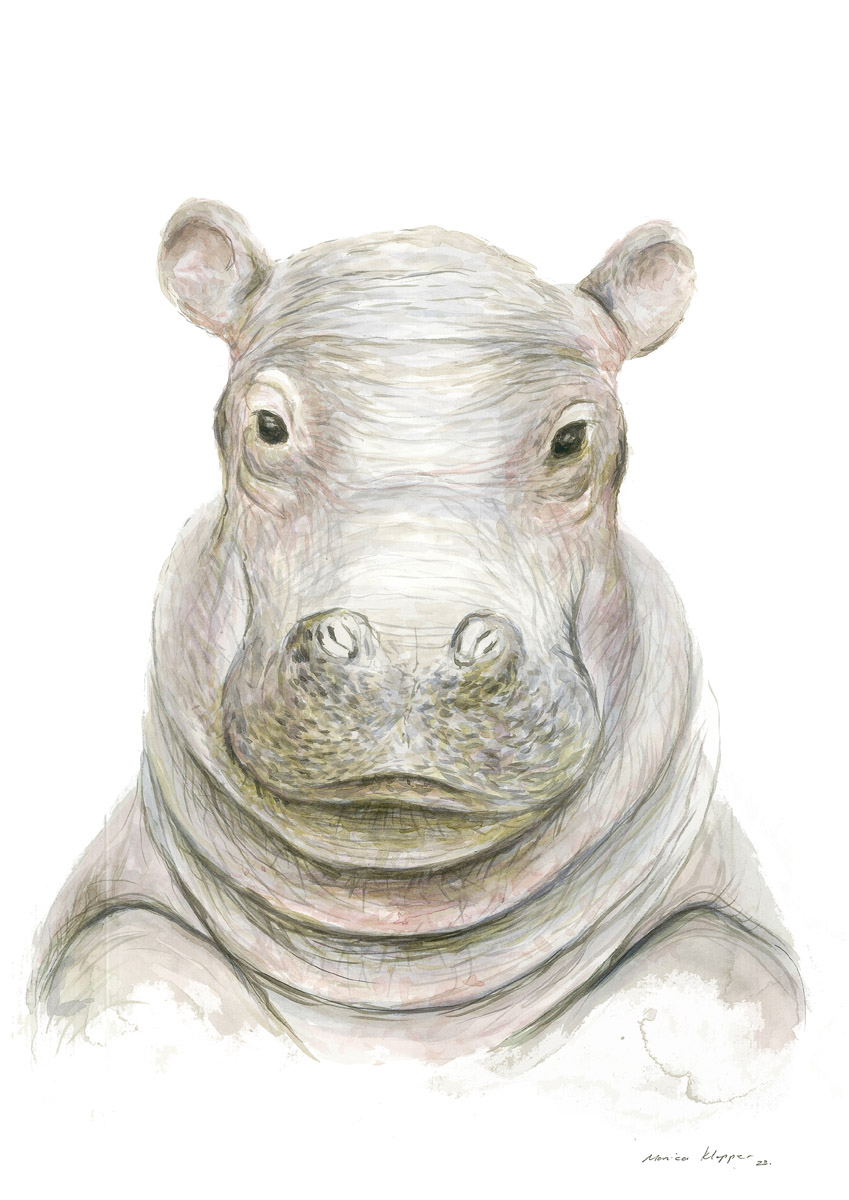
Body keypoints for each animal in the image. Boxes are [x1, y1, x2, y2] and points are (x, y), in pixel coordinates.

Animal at [31, 202, 803, 1085]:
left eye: (573, 438)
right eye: (266, 425)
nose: (411, 647)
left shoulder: (733, 919)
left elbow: (707, 996)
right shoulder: (107, 902)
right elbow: (132, 973)